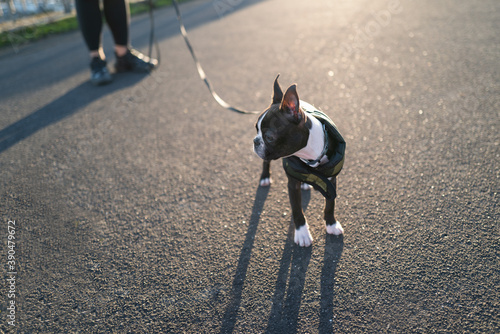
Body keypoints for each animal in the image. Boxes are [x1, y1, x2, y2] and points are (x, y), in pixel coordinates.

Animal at [252, 76, 346, 248]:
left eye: (269, 137)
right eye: (256, 129)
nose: (255, 141)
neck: (310, 155)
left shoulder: (331, 180)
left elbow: (330, 204)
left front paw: (331, 224)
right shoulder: (292, 184)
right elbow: (297, 210)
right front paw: (302, 233)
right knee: (266, 162)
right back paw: (265, 177)